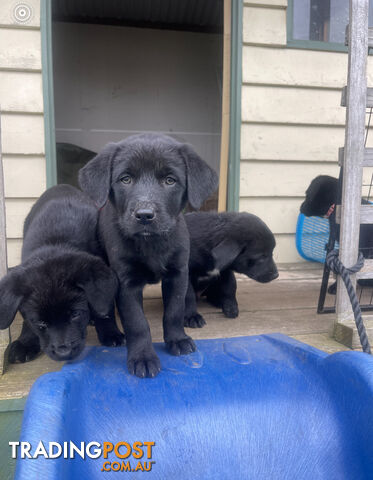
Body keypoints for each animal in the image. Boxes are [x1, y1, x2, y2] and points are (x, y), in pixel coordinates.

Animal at [0, 185, 123, 364]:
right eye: (40, 322)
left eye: (76, 314)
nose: (63, 353)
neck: (56, 243)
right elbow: (27, 321)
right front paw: (26, 342)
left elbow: (104, 307)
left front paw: (110, 333)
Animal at [79, 133, 218, 376]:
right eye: (125, 179)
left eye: (170, 180)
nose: (144, 215)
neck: (150, 242)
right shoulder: (125, 282)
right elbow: (137, 323)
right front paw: (142, 357)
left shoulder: (177, 273)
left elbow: (174, 310)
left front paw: (177, 339)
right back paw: (109, 333)